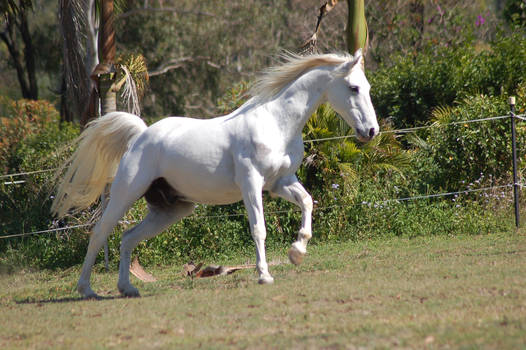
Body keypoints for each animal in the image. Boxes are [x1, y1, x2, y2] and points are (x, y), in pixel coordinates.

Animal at [51, 50, 378, 298]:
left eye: (368, 88)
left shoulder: (281, 183)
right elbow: (259, 229)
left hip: (171, 210)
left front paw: (297, 252)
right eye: (353, 88)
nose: (371, 131)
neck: (276, 123)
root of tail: (141, 135)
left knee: (128, 238)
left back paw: (127, 288)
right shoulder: (252, 184)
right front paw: (264, 275)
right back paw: (86, 290)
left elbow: (308, 203)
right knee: (100, 233)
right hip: (125, 193)